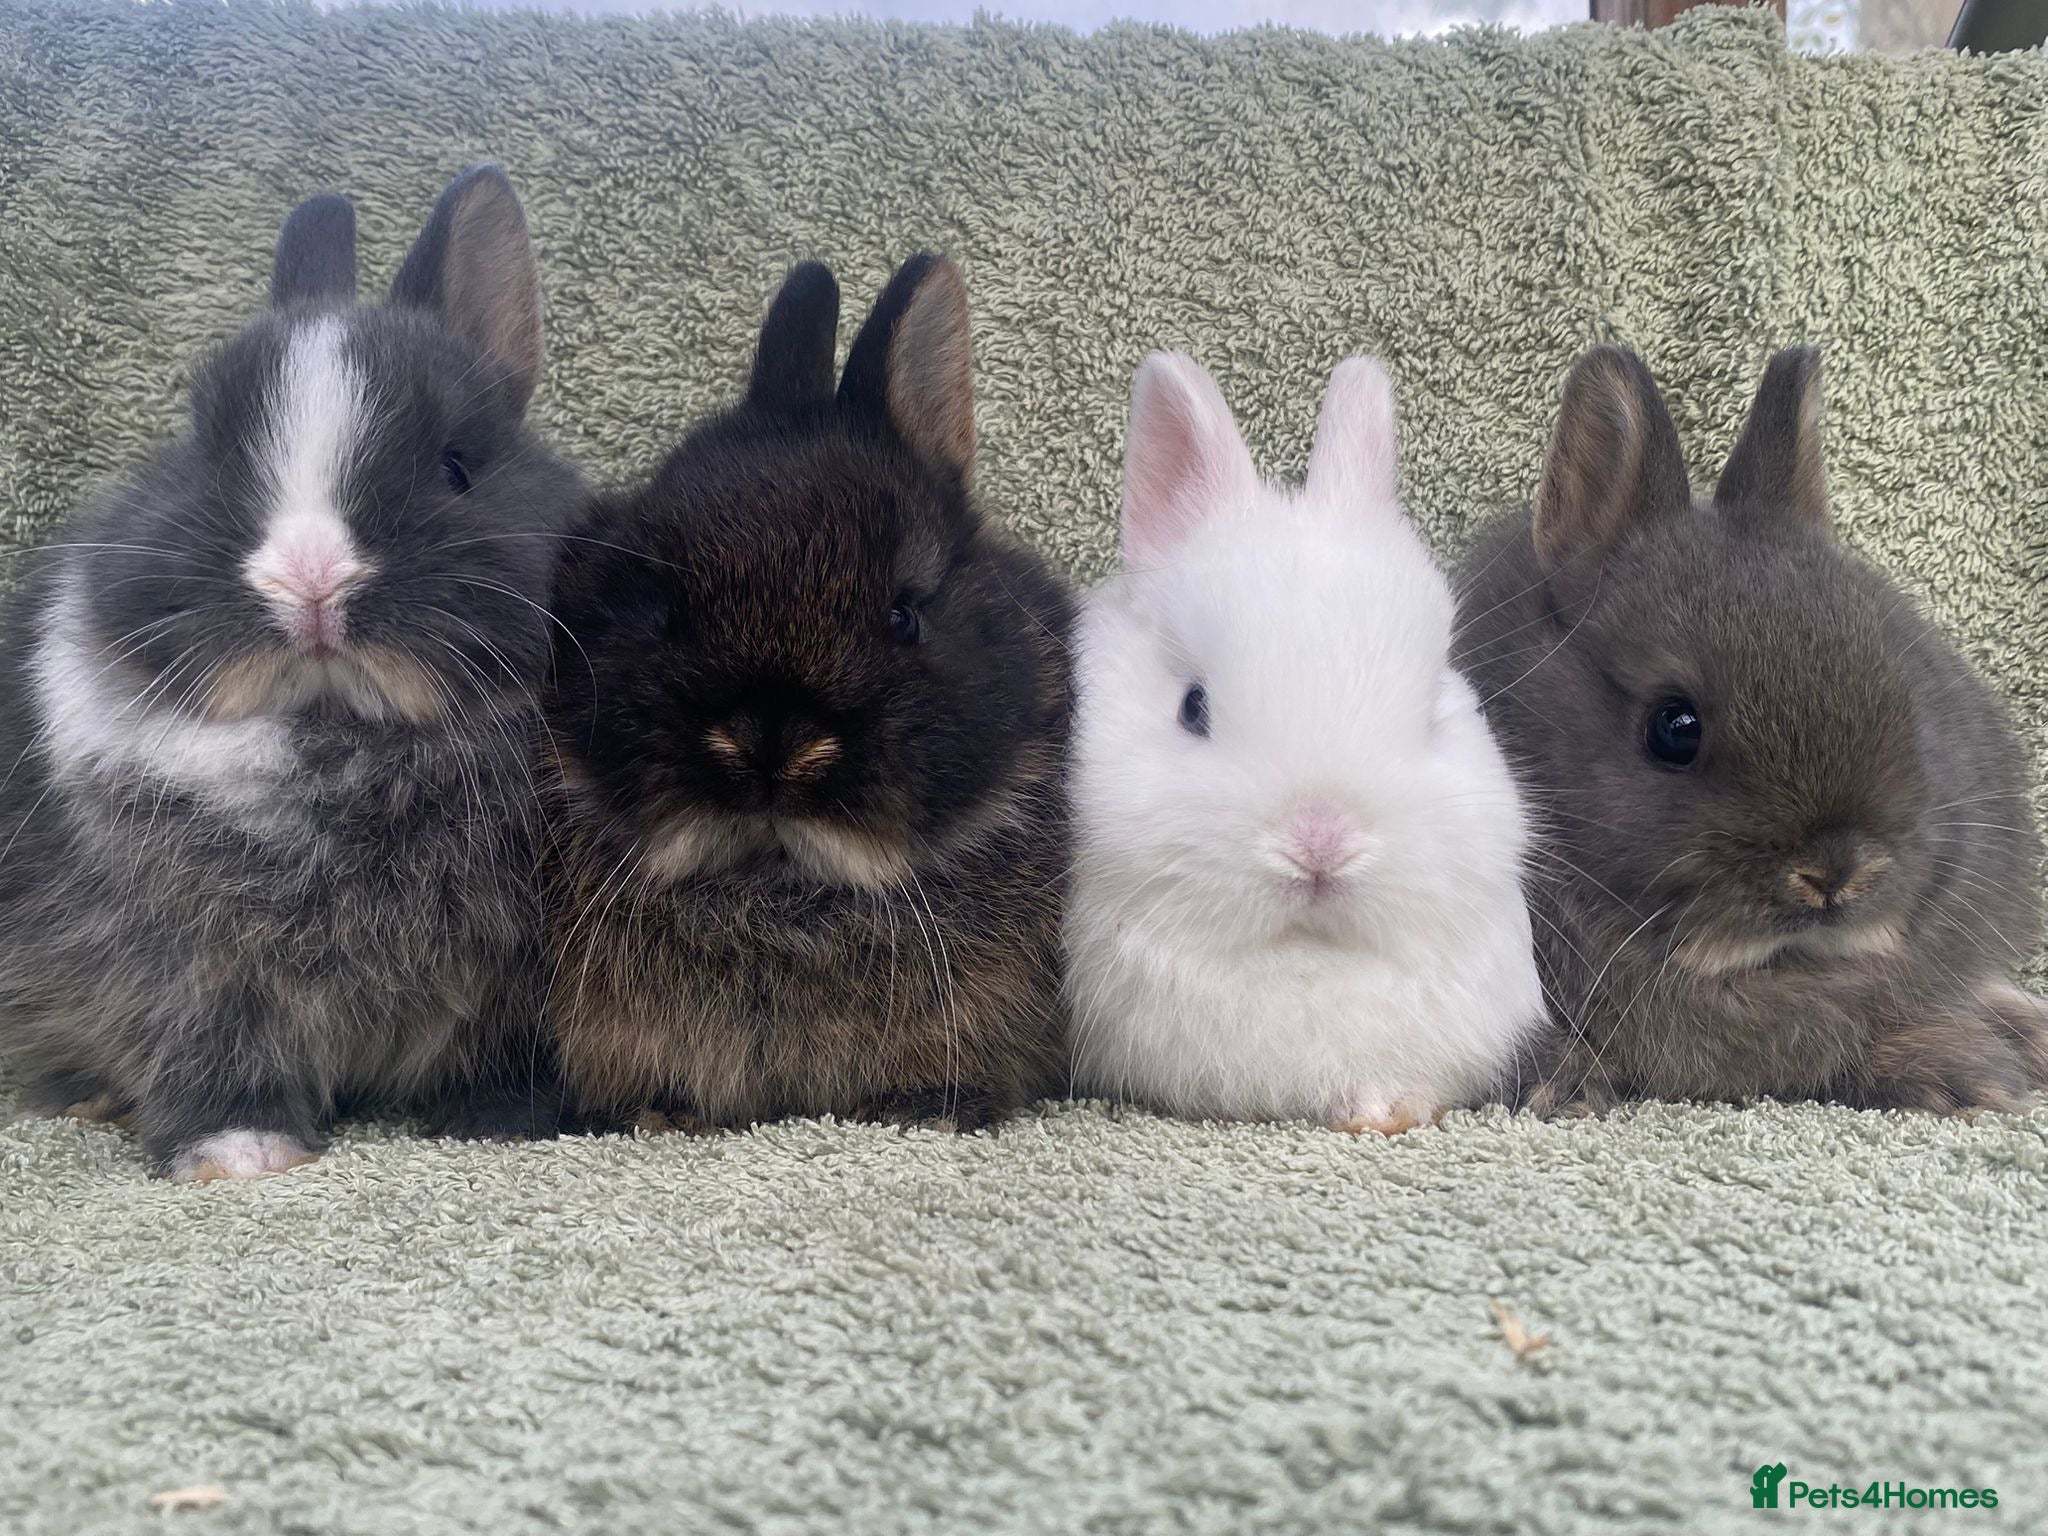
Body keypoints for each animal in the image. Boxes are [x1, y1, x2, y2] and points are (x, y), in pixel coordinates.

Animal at [0, 165, 582, 1179]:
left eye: (456, 467)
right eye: (208, 455)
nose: (309, 580)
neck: (341, 741)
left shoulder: (528, 960)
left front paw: (503, 1122)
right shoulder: (183, 960)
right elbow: (209, 1043)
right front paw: (239, 1154)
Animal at [543, 253, 1074, 1132]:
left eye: (903, 616)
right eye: (659, 612)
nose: (771, 741)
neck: (782, 894)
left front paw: (924, 1113)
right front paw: (656, 1118)